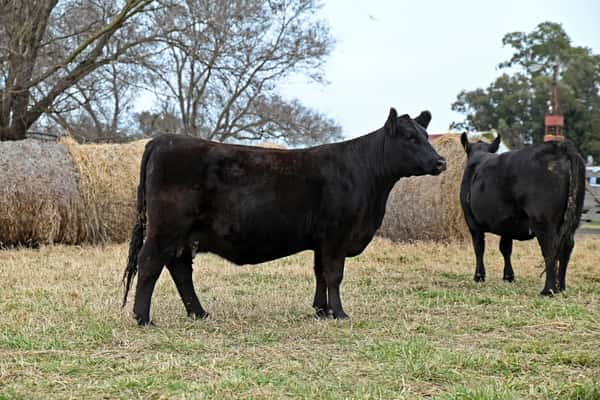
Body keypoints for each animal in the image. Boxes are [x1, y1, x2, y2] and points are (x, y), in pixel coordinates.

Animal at [124, 107, 448, 324]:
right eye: (409, 137)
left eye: (425, 135)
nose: (441, 162)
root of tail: (162, 140)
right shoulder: (337, 235)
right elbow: (334, 274)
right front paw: (340, 313)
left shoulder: (321, 240)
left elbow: (320, 273)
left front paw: (321, 311)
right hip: (166, 229)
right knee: (150, 263)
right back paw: (143, 318)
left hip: (184, 235)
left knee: (179, 269)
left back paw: (199, 313)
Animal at [460, 134, 584, 294]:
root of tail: (561, 147)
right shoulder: (506, 223)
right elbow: (505, 248)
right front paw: (508, 276)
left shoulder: (472, 222)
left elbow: (479, 247)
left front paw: (479, 276)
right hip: (573, 220)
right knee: (566, 247)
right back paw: (561, 287)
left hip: (543, 221)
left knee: (550, 248)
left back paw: (548, 290)